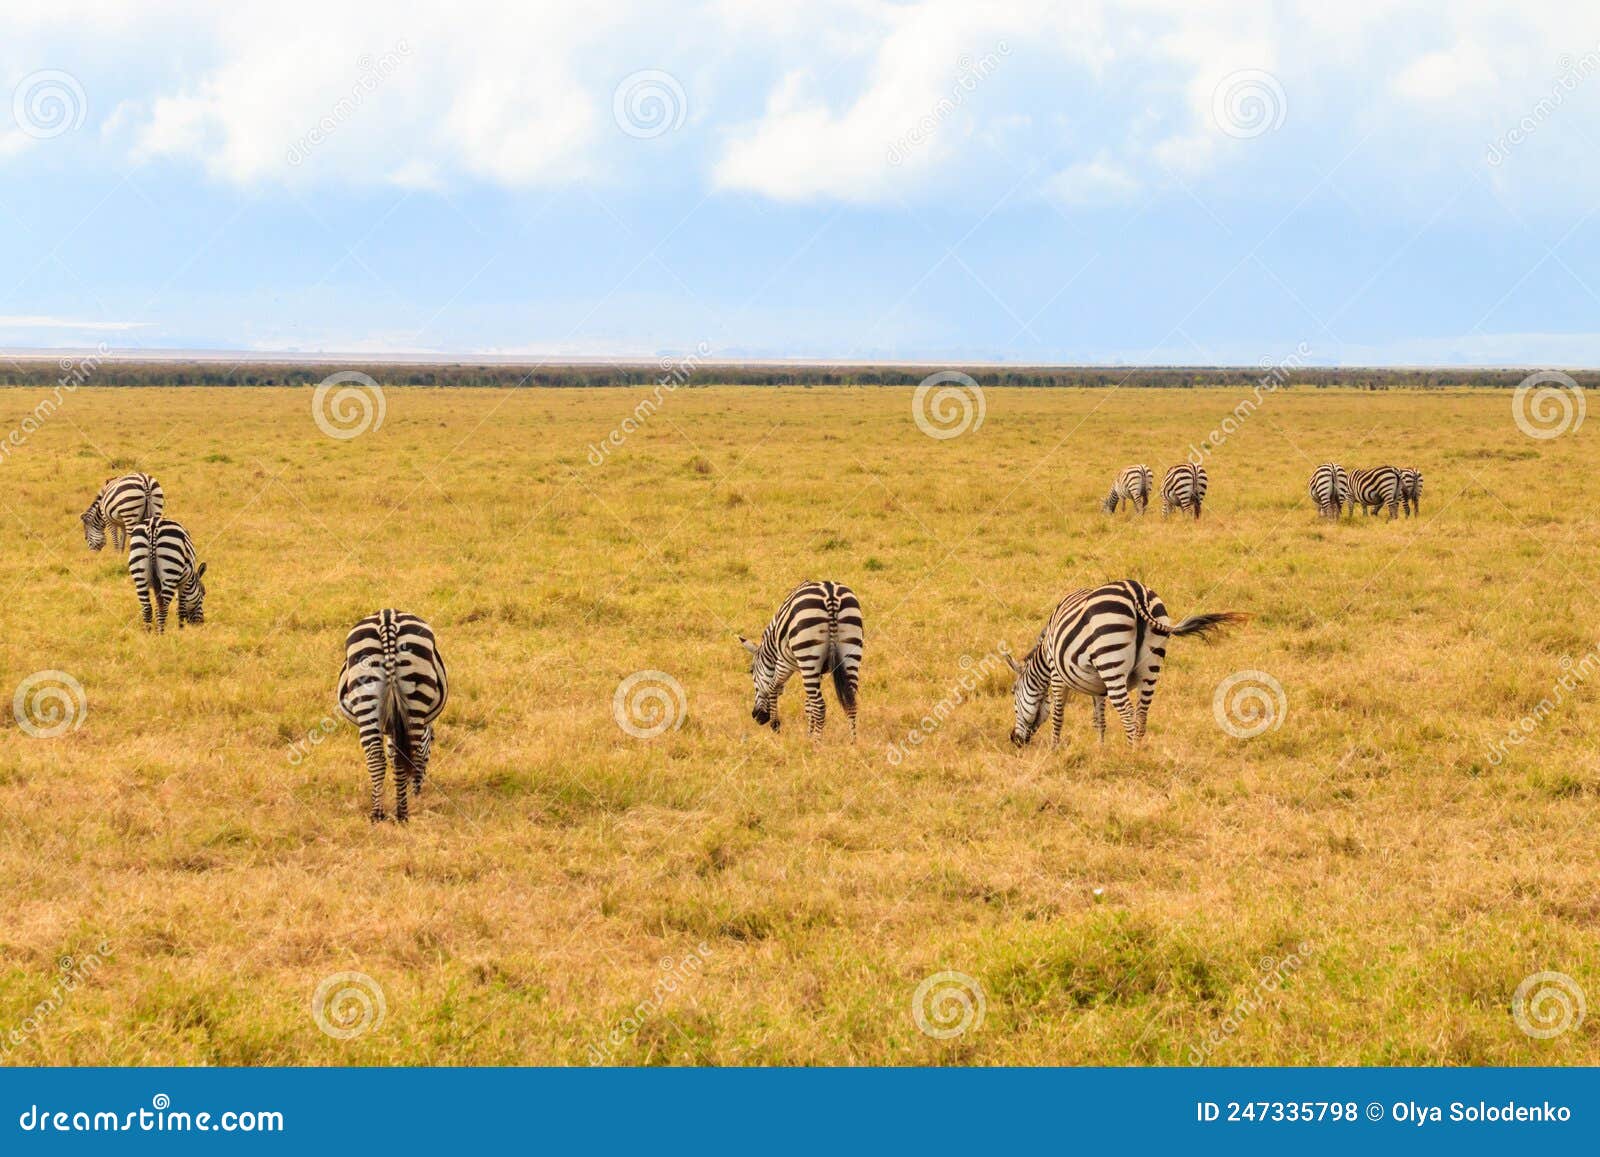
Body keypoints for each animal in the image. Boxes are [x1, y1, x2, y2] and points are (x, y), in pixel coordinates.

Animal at [336, 611, 451, 819]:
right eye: (432, 742)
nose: (418, 792)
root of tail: (388, 618)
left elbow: (391, 753)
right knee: (404, 757)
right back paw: (402, 813)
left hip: (366, 693)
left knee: (376, 757)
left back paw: (377, 814)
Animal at [736, 579, 864, 742]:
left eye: (751, 671)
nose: (757, 716)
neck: (772, 645)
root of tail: (830, 594)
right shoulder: (818, 672)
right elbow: (809, 704)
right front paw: (809, 733)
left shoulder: (783, 664)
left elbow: (773, 687)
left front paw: (775, 725)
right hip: (850, 651)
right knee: (850, 701)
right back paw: (852, 743)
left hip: (808, 655)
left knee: (820, 706)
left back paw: (816, 744)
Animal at [998, 579, 1248, 752]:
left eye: (1013, 693)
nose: (1014, 740)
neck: (1045, 653)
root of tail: (1136, 591)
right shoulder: (1097, 685)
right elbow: (1099, 719)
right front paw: (1101, 749)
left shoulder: (1057, 675)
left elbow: (1058, 714)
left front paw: (1054, 749)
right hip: (1150, 666)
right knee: (1142, 713)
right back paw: (1138, 752)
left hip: (1111, 661)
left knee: (1127, 711)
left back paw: (1129, 755)